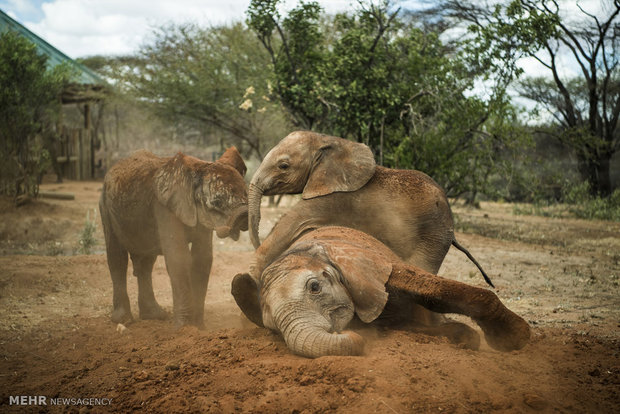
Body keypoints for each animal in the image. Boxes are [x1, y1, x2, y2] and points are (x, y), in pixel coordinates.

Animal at [100, 148, 248, 326]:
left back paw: (154, 316)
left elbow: (202, 259)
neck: (197, 169)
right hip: (106, 207)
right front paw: (184, 328)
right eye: (216, 202)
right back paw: (124, 320)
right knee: (117, 257)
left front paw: (198, 327)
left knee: (146, 263)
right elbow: (179, 257)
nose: (244, 215)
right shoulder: (164, 207)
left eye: (247, 193)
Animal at [230, 226, 532, 360]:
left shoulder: (370, 267)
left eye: (315, 287)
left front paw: (514, 339)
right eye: (272, 328)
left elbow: (431, 289)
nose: (351, 335)